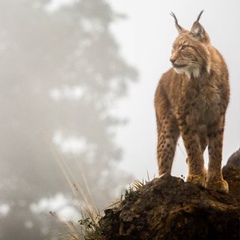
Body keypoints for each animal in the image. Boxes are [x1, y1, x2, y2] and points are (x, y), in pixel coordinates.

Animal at [155, 11, 230, 193]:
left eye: (184, 47)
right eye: (173, 48)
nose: (171, 60)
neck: (205, 76)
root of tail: (164, 75)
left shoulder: (218, 115)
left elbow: (216, 150)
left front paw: (216, 181)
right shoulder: (184, 115)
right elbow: (192, 147)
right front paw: (196, 178)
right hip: (167, 126)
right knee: (163, 159)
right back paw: (162, 180)